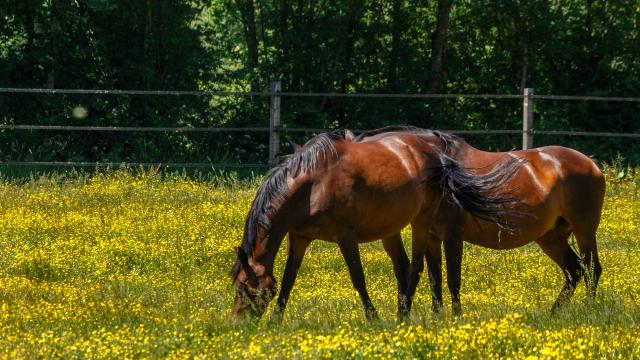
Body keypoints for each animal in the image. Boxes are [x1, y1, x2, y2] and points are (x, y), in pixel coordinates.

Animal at [229, 127, 520, 320]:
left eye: (246, 288)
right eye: (238, 285)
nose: (238, 324)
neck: (313, 185)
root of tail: (437, 154)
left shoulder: (345, 235)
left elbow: (358, 277)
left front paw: (373, 317)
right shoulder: (299, 237)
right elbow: (289, 279)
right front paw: (276, 322)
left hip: (421, 220)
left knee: (416, 266)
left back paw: (402, 317)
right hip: (391, 227)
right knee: (403, 266)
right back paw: (404, 312)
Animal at [404, 128, 604, 316]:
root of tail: (591, 164)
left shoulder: (452, 235)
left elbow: (453, 280)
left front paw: (455, 318)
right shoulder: (432, 237)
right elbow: (434, 280)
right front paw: (438, 317)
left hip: (584, 231)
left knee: (592, 268)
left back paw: (588, 308)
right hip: (551, 238)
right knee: (574, 270)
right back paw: (554, 313)